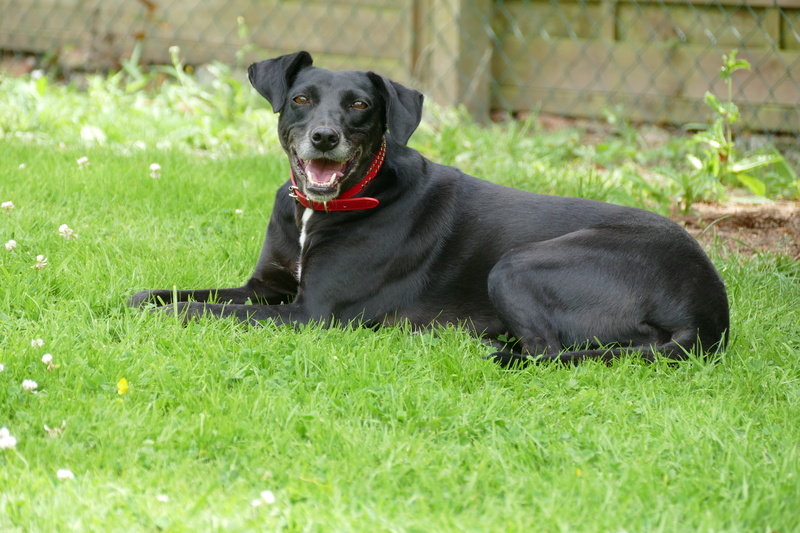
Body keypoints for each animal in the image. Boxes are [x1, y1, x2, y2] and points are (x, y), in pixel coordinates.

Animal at [131, 51, 732, 366]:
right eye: (301, 99)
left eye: (360, 105)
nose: (324, 138)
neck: (322, 208)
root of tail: (707, 313)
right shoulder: (264, 287)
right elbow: (160, 294)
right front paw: (134, 300)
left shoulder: (311, 314)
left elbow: (200, 310)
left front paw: (166, 315)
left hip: (517, 265)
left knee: (544, 350)